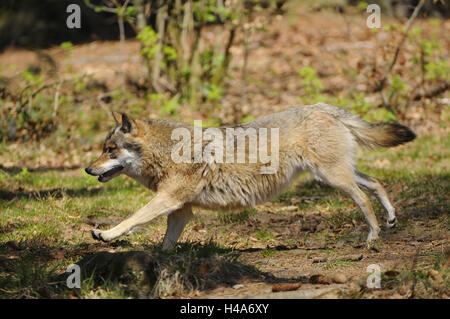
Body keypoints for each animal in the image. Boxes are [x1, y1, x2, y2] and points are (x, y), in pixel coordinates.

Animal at [83, 102, 414, 250]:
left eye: (110, 150)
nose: (87, 170)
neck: (170, 150)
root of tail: (325, 107)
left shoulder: (167, 200)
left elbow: (132, 219)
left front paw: (105, 234)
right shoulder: (180, 210)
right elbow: (166, 242)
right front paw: (161, 261)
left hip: (334, 179)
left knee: (363, 199)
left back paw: (372, 236)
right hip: (336, 175)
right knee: (376, 183)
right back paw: (391, 219)